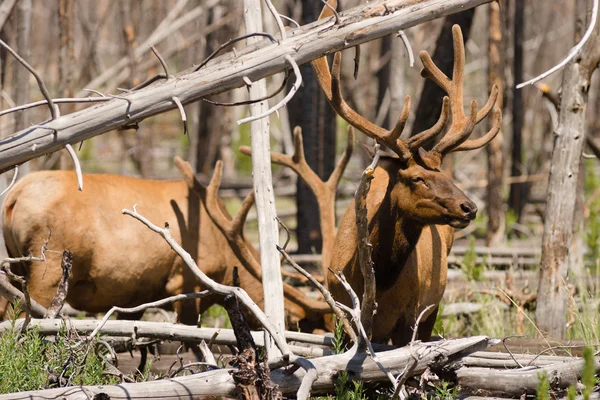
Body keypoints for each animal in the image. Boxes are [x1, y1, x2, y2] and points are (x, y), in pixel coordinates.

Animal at [310, 0, 502, 346]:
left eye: (448, 176)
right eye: (417, 178)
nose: (469, 207)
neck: (373, 279)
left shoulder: (409, 317)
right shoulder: (341, 314)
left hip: (432, 307)